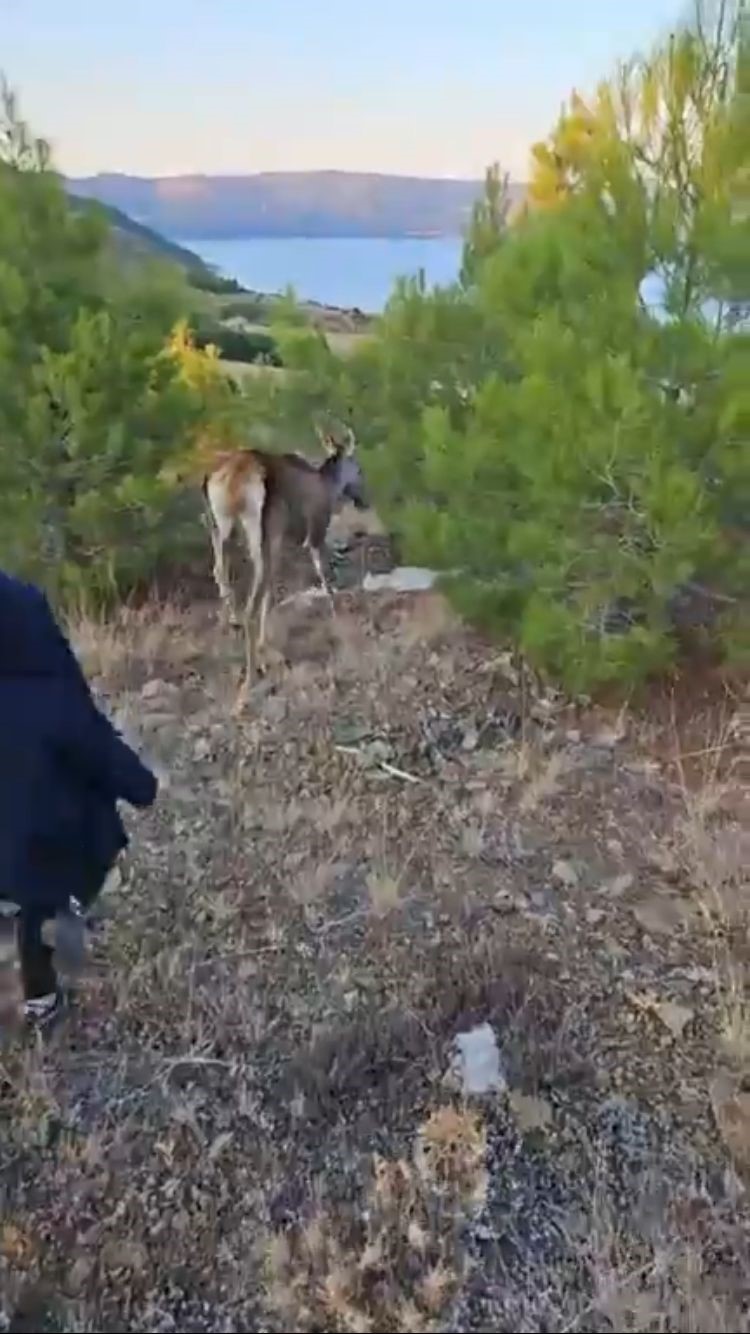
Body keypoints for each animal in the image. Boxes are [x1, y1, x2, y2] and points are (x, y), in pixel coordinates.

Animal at [200, 426, 365, 693]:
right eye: (359, 468)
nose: (363, 498)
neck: (327, 485)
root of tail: (231, 480)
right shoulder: (314, 529)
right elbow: (321, 572)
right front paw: (335, 610)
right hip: (260, 524)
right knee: (255, 587)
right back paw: (251, 672)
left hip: (221, 523)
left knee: (220, 569)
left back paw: (231, 625)